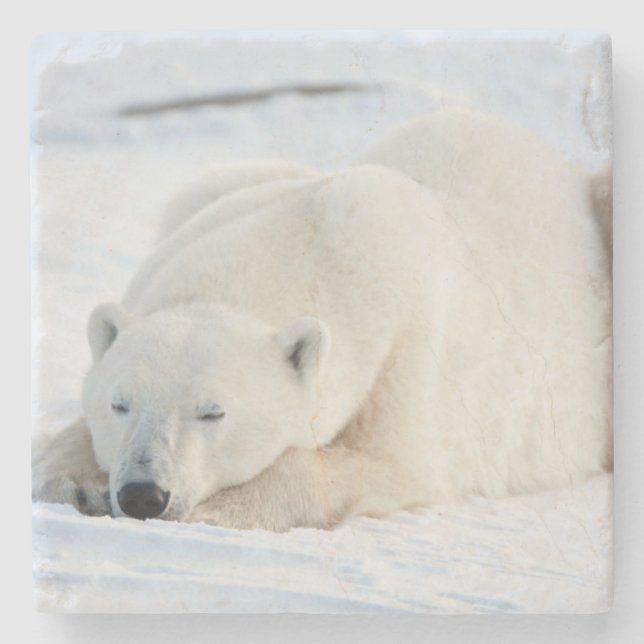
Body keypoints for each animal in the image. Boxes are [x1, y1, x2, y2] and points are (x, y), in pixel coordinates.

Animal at [32, 109, 612, 531]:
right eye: (119, 403)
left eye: (213, 412)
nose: (143, 494)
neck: (319, 231)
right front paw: (68, 479)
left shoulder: (411, 359)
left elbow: (388, 463)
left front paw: (221, 509)